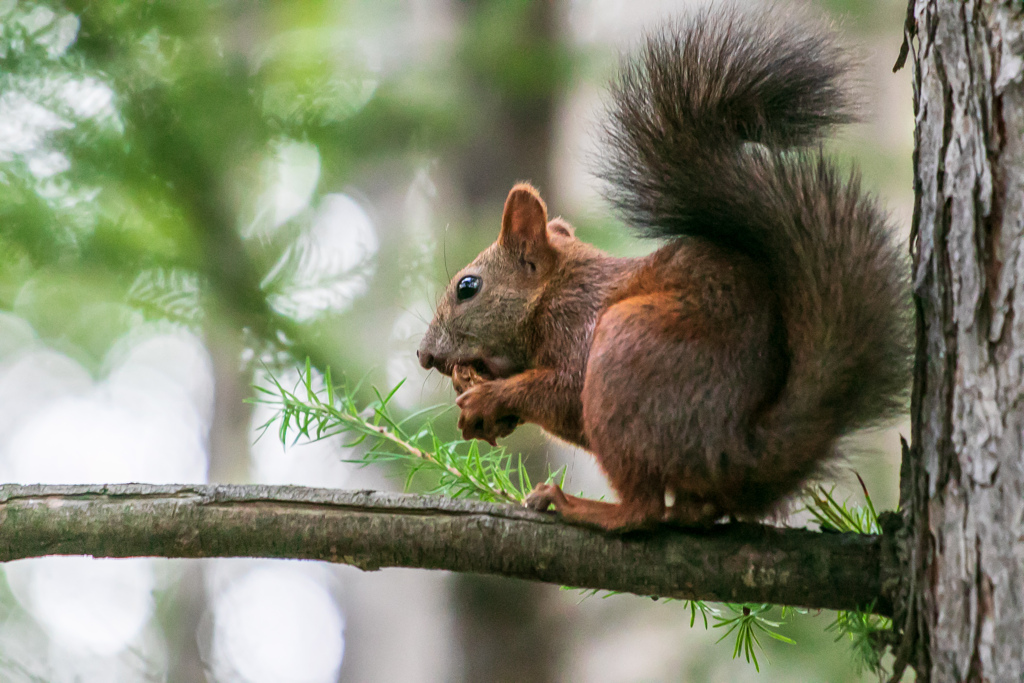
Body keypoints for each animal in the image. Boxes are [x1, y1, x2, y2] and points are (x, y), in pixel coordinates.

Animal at [411, 2, 909, 532]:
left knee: (644, 509)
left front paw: (489, 397)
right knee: (685, 510)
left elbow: (564, 391)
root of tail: (735, 451)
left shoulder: (579, 322)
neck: (555, 291)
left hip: (628, 352)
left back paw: (579, 505)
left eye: (468, 287)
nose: (423, 355)